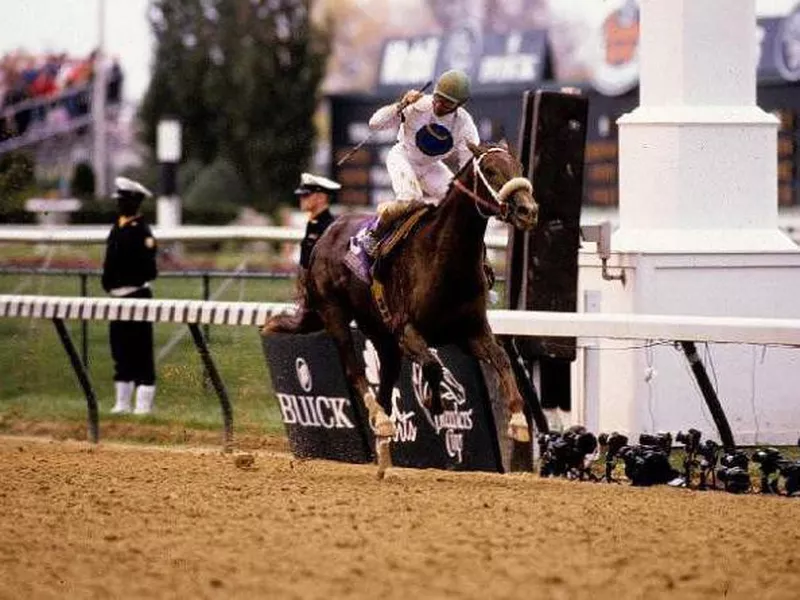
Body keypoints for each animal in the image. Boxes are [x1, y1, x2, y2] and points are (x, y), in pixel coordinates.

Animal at [266, 143, 540, 476]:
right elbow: (433, 365)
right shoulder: (406, 329)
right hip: (336, 314)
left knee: (385, 387)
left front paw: (518, 421)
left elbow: (500, 358)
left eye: (519, 166)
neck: (444, 259)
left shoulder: (471, 331)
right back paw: (380, 420)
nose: (528, 210)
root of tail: (325, 236)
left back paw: (384, 455)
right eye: (489, 170)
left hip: (382, 337)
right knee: (355, 370)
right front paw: (435, 402)